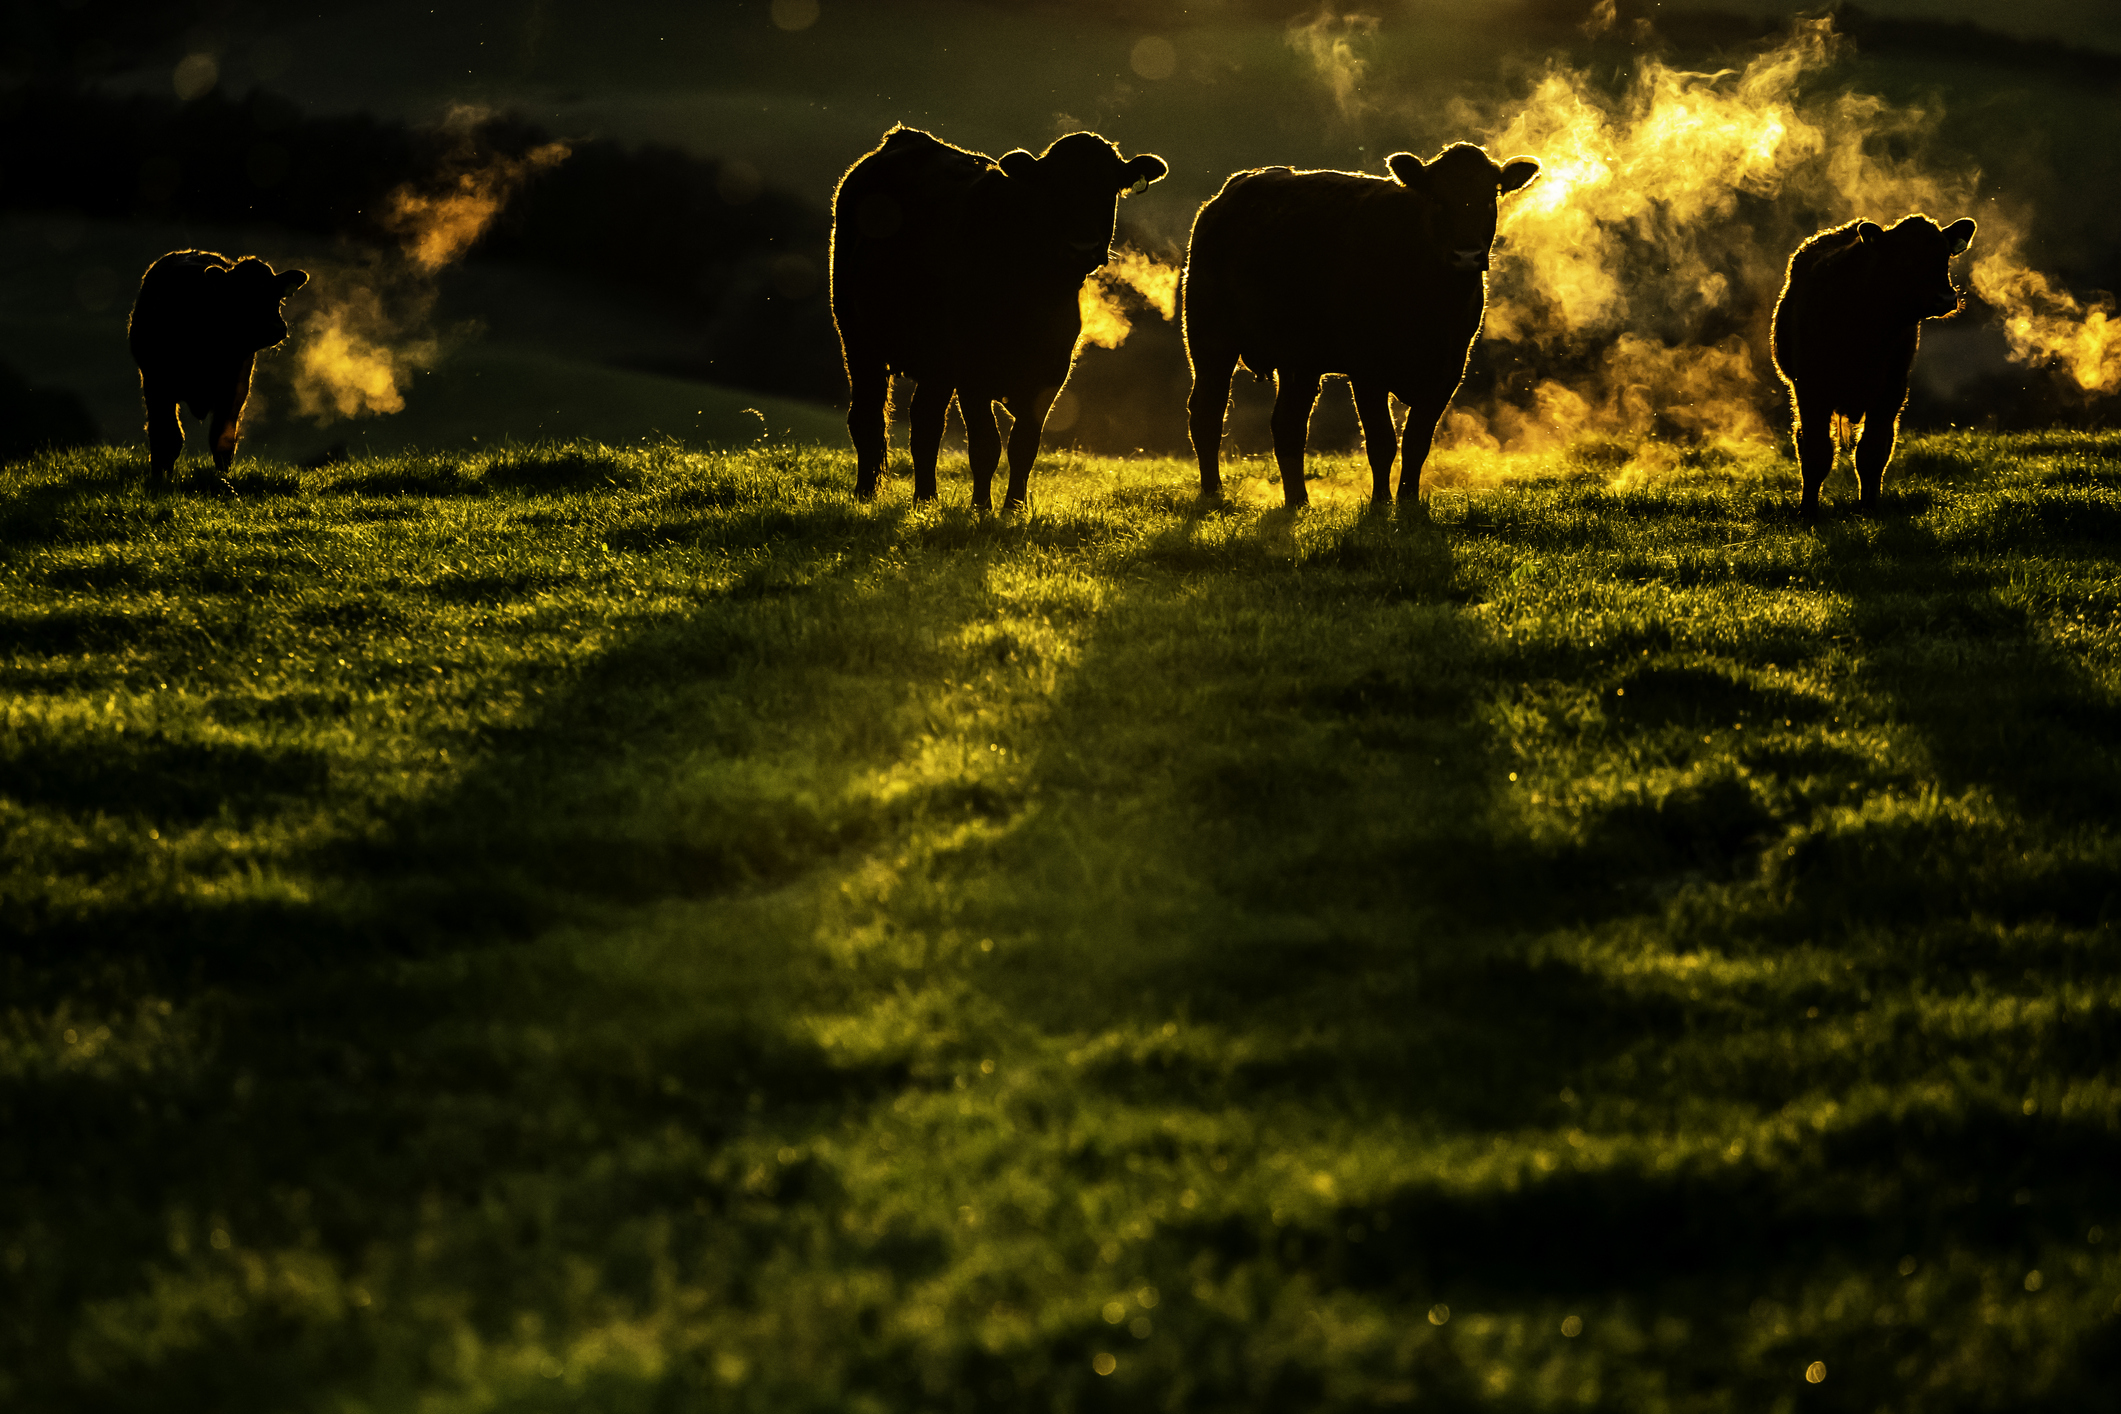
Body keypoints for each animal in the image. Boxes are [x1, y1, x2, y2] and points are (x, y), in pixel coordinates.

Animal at [127, 254, 307, 491]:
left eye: (276, 294)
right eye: (241, 294)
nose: (276, 327)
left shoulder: (235, 387)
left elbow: (222, 438)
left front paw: (223, 479)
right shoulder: (157, 384)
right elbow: (167, 436)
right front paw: (160, 478)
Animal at [831, 122, 1170, 508]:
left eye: (1109, 185)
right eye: (1053, 186)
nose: (1082, 247)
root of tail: (906, 136)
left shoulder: (1050, 373)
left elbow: (1024, 446)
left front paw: (1014, 508)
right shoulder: (971, 371)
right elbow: (985, 446)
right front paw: (981, 507)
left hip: (935, 364)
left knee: (925, 422)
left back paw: (926, 499)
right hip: (857, 337)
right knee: (868, 416)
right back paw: (866, 493)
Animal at [1179, 142, 1544, 508]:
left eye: (1491, 195)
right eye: (1435, 196)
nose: (1467, 255)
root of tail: (1235, 188)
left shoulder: (1449, 369)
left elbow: (1417, 443)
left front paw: (1408, 502)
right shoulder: (1368, 368)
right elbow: (1382, 441)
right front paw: (1380, 503)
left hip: (1299, 361)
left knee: (1288, 426)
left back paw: (1299, 501)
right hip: (1210, 340)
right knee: (1207, 414)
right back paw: (1213, 492)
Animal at [1764, 213, 1976, 517]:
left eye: (1945, 255)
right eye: (1903, 257)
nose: (1946, 298)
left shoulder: (1891, 392)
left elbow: (1872, 452)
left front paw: (1869, 508)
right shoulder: (1810, 389)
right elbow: (1817, 452)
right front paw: (1808, 512)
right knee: (1804, 440)